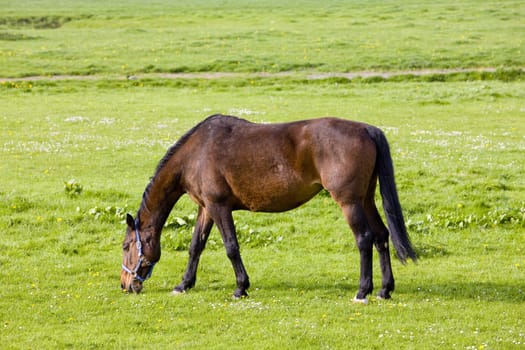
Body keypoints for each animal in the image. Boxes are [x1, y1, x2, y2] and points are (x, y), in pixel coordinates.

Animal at [121, 114, 416, 300]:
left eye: (125, 247)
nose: (125, 284)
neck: (197, 153)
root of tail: (366, 129)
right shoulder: (206, 208)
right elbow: (196, 247)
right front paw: (184, 284)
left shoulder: (219, 207)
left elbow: (231, 247)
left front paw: (241, 287)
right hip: (366, 199)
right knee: (381, 236)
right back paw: (384, 290)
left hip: (350, 202)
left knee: (364, 239)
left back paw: (363, 291)